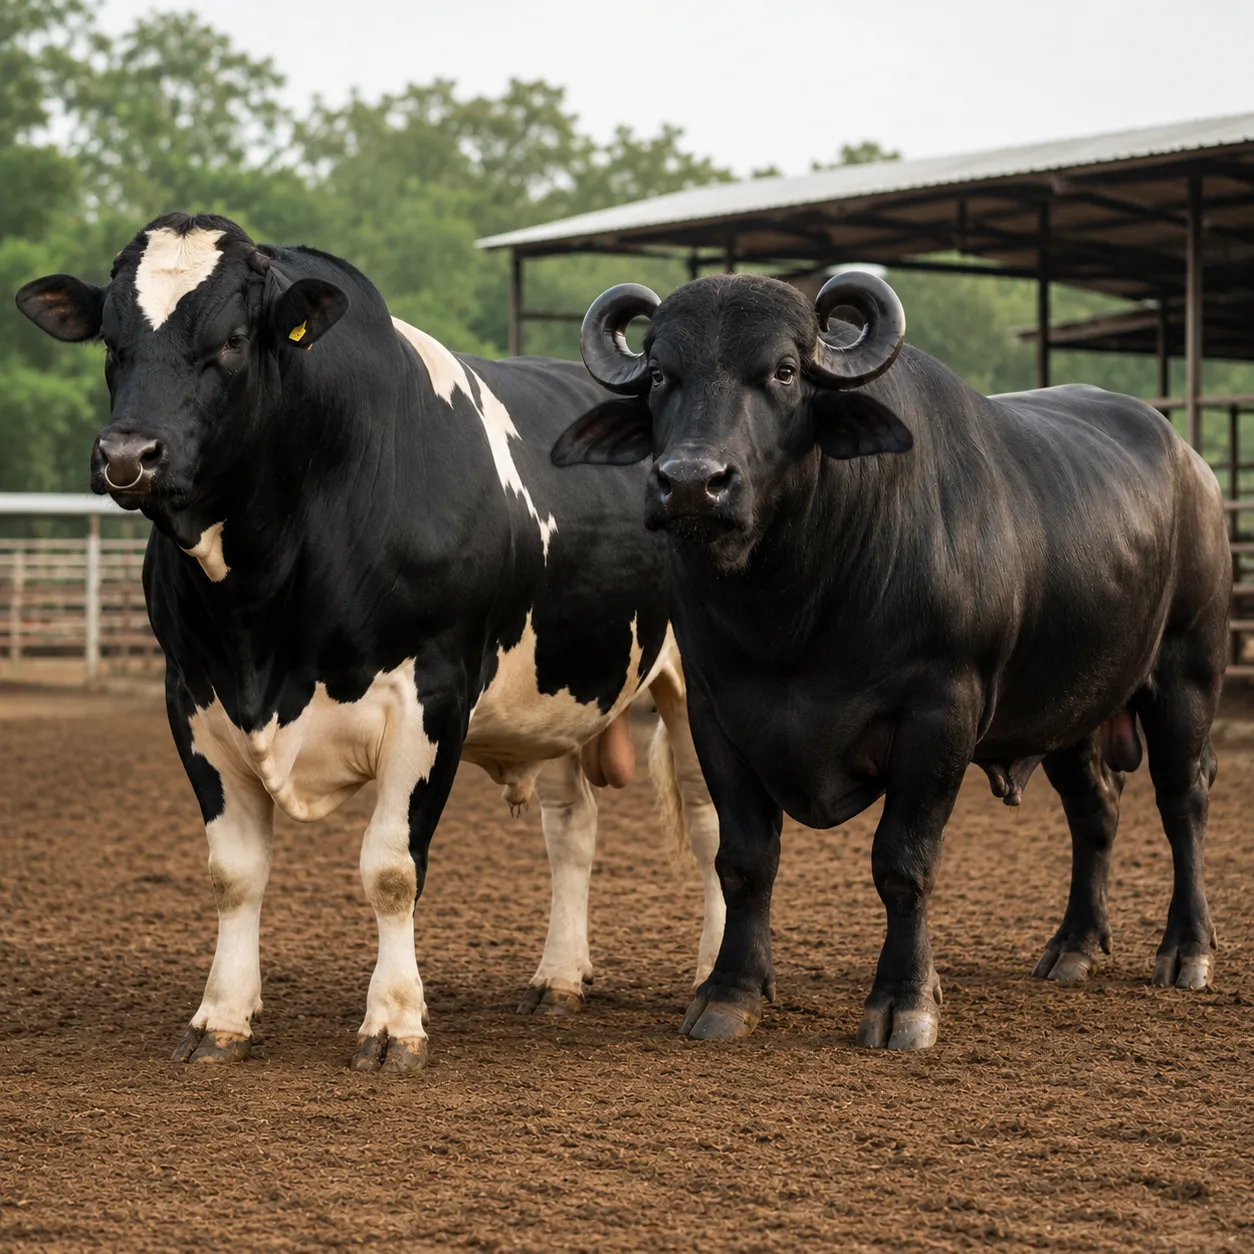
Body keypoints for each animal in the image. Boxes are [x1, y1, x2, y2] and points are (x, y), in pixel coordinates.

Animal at [15, 212, 723, 1074]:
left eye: (234, 340)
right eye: (112, 341)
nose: (128, 456)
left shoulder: (431, 696)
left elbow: (390, 868)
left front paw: (392, 1022)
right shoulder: (193, 697)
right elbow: (234, 873)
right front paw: (221, 1015)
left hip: (697, 690)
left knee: (712, 827)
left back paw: (712, 979)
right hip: (553, 689)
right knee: (573, 829)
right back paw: (558, 979)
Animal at [551, 270, 1230, 1050]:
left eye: (785, 371)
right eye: (661, 373)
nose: (692, 482)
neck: (792, 611)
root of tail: (1195, 467)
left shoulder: (939, 714)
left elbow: (903, 861)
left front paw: (906, 1001)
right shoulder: (717, 713)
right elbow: (744, 861)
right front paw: (728, 993)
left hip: (1187, 671)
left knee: (1183, 798)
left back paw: (1186, 951)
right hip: (1072, 707)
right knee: (1096, 809)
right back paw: (1074, 947)